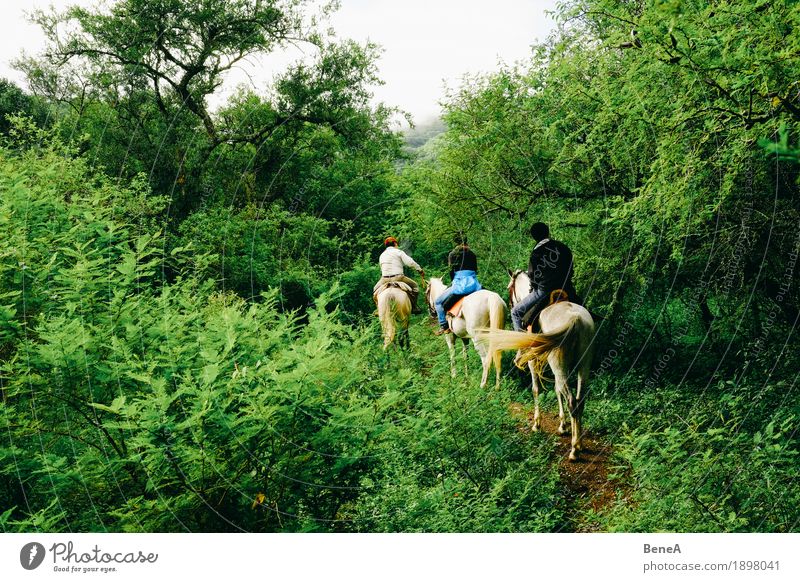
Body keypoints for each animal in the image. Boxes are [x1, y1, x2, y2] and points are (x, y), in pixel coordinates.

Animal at [484, 272, 592, 464]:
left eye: (509, 288)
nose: (511, 304)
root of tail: (576, 320)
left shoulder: (533, 361)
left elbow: (536, 389)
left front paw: (537, 423)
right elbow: (556, 390)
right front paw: (562, 426)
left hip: (560, 366)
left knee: (572, 401)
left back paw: (574, 450)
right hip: (582, 366)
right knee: (580, 399)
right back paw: (579, 443)